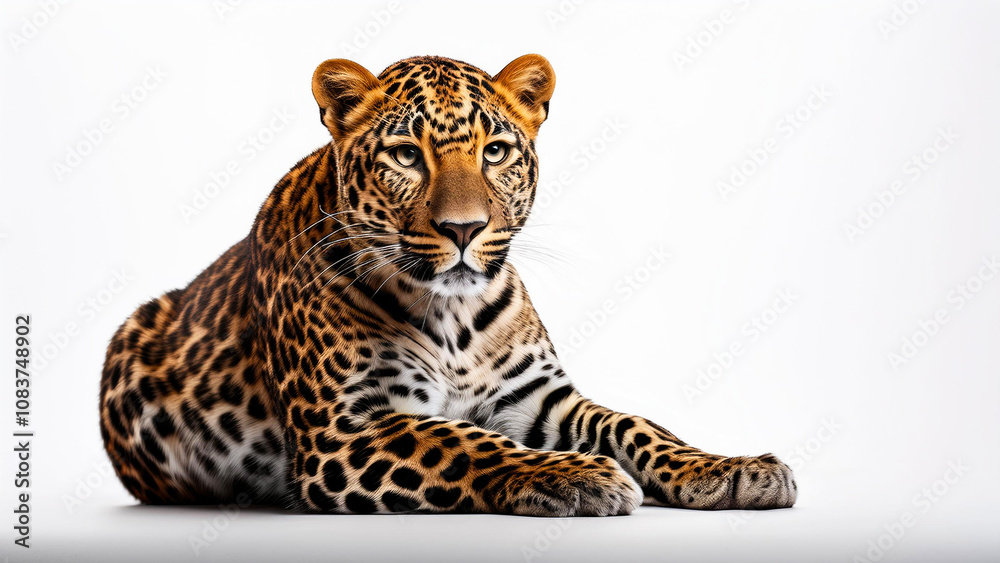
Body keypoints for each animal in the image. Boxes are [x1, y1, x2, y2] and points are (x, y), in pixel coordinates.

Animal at [99, 54, 797, 515]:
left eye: (495, 151)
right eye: (407, 156)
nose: (464, 229)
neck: (454, 315)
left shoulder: (540, 398)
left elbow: (637, 425)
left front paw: (732, 469)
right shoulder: (342, 430)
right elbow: (461, 441)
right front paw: (578, 476)